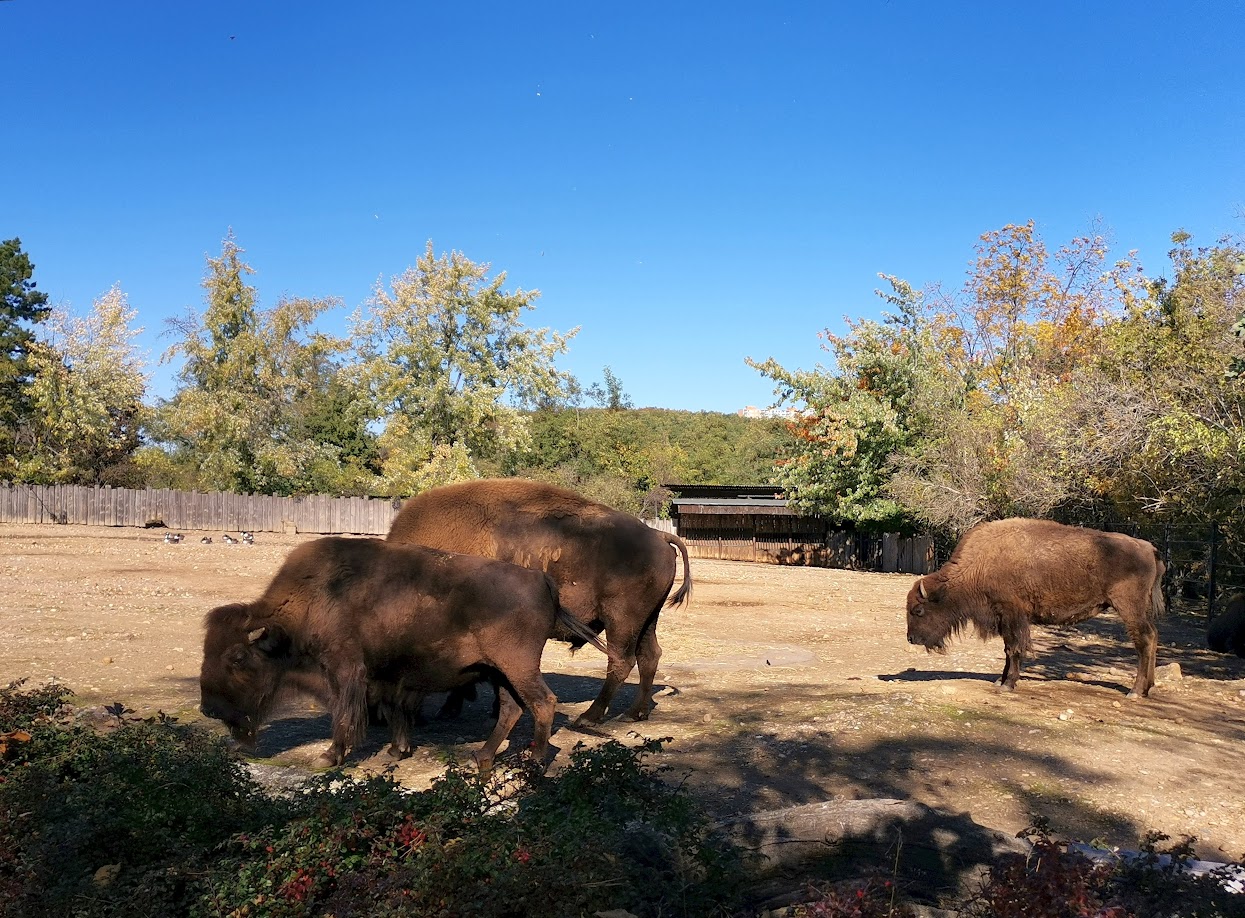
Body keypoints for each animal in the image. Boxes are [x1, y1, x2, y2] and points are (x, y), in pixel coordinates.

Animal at [196, 533, 615, 772]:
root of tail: (541, 579)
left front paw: (330, 756)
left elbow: (344, 715)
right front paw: (398, 750)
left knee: (543, 702)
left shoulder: (345, 670)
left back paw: (535, 760)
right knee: (513, 709)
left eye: (236, 658)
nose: (208, 708)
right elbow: (393, 709)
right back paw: (482, 758)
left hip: (518, 667)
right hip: (500, 672)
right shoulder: (385, 675)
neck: (315, 597)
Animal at [385, 475, 692, 717]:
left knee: (621, 660)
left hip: (622, 620)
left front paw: (452, 709)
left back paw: (589, 718)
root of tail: (658, 536)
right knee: (649, 656)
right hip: (647, 620)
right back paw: (635, 713)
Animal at [906, 515, 1165, 692]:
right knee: (1153, 636)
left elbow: (1014, 648)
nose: (911, 638)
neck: (982, 562)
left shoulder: (1012, 615)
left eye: (918, 610)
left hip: (1128, 606)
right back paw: (1148, 687)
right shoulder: (1004, 618)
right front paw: (1001, 680)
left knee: (1144, 639)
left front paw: (1008, 684)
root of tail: (1149, 548)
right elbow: (1007, 650)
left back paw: (1135, 691)